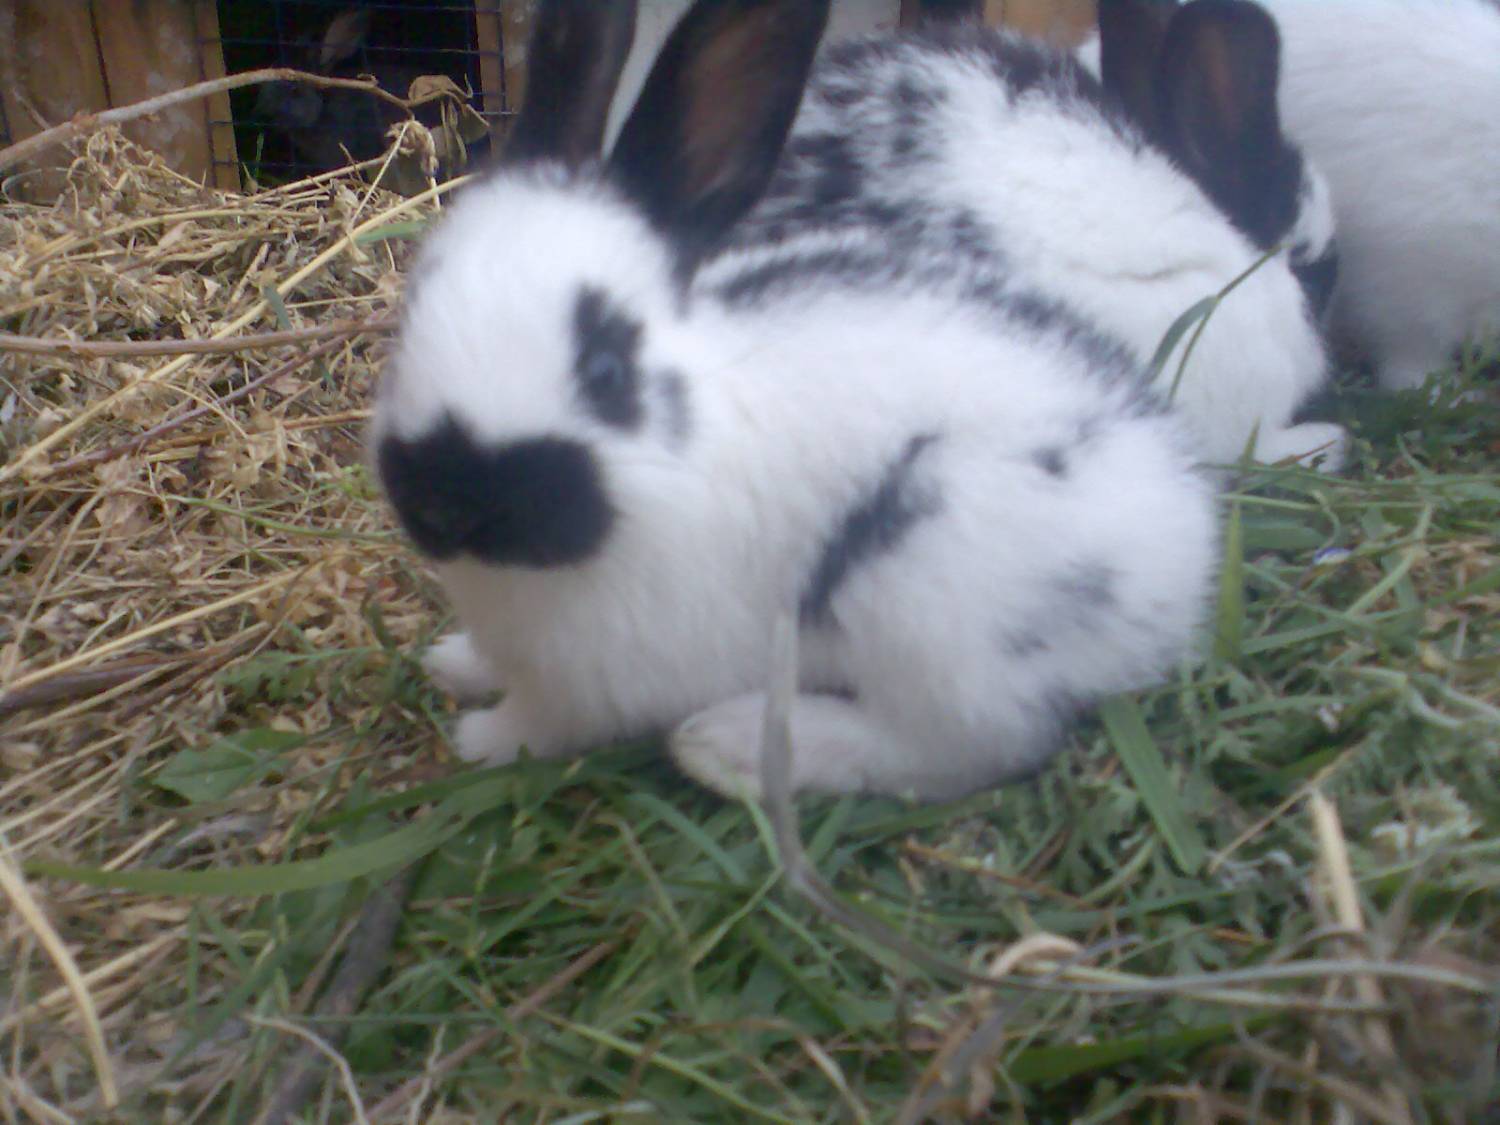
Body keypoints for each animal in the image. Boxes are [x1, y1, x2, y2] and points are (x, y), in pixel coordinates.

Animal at [369, 0, 1221, 802]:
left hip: (932, 597)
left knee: (962, 745)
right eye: (409, 318)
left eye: (607, 369)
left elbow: (541, 727)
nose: (445, 501)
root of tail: (1183, 553)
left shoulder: (592, 685)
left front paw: (478, 741)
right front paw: (452, 661)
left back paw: (729, 745)